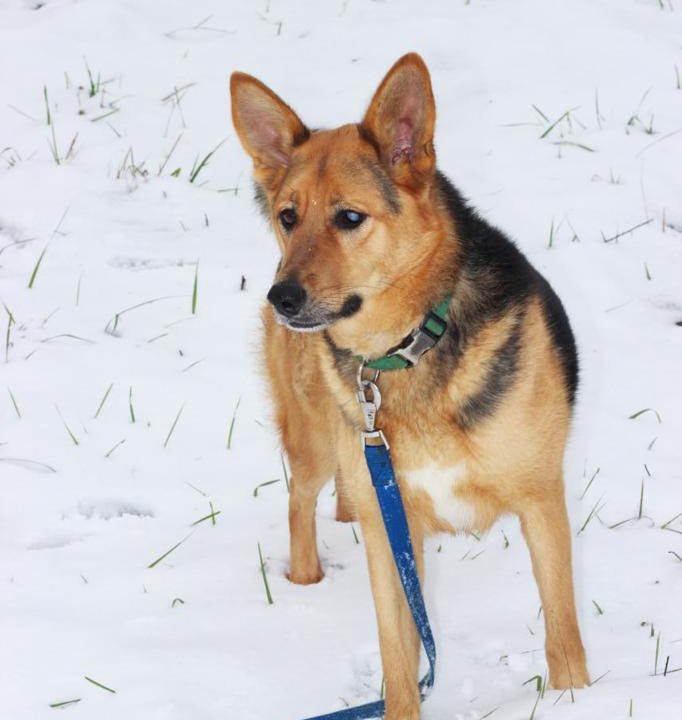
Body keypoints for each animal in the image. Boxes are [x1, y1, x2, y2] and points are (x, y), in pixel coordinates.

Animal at [230, 53, 588, 716]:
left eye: (350, 217)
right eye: (289, 217)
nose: (280, 297)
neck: (401, 353)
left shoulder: (541, 502)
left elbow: (564, 637)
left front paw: (578, 699)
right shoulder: (391, 543)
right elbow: (397, 660)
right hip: (313, 437)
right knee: (301, 497)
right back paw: (306, 584)